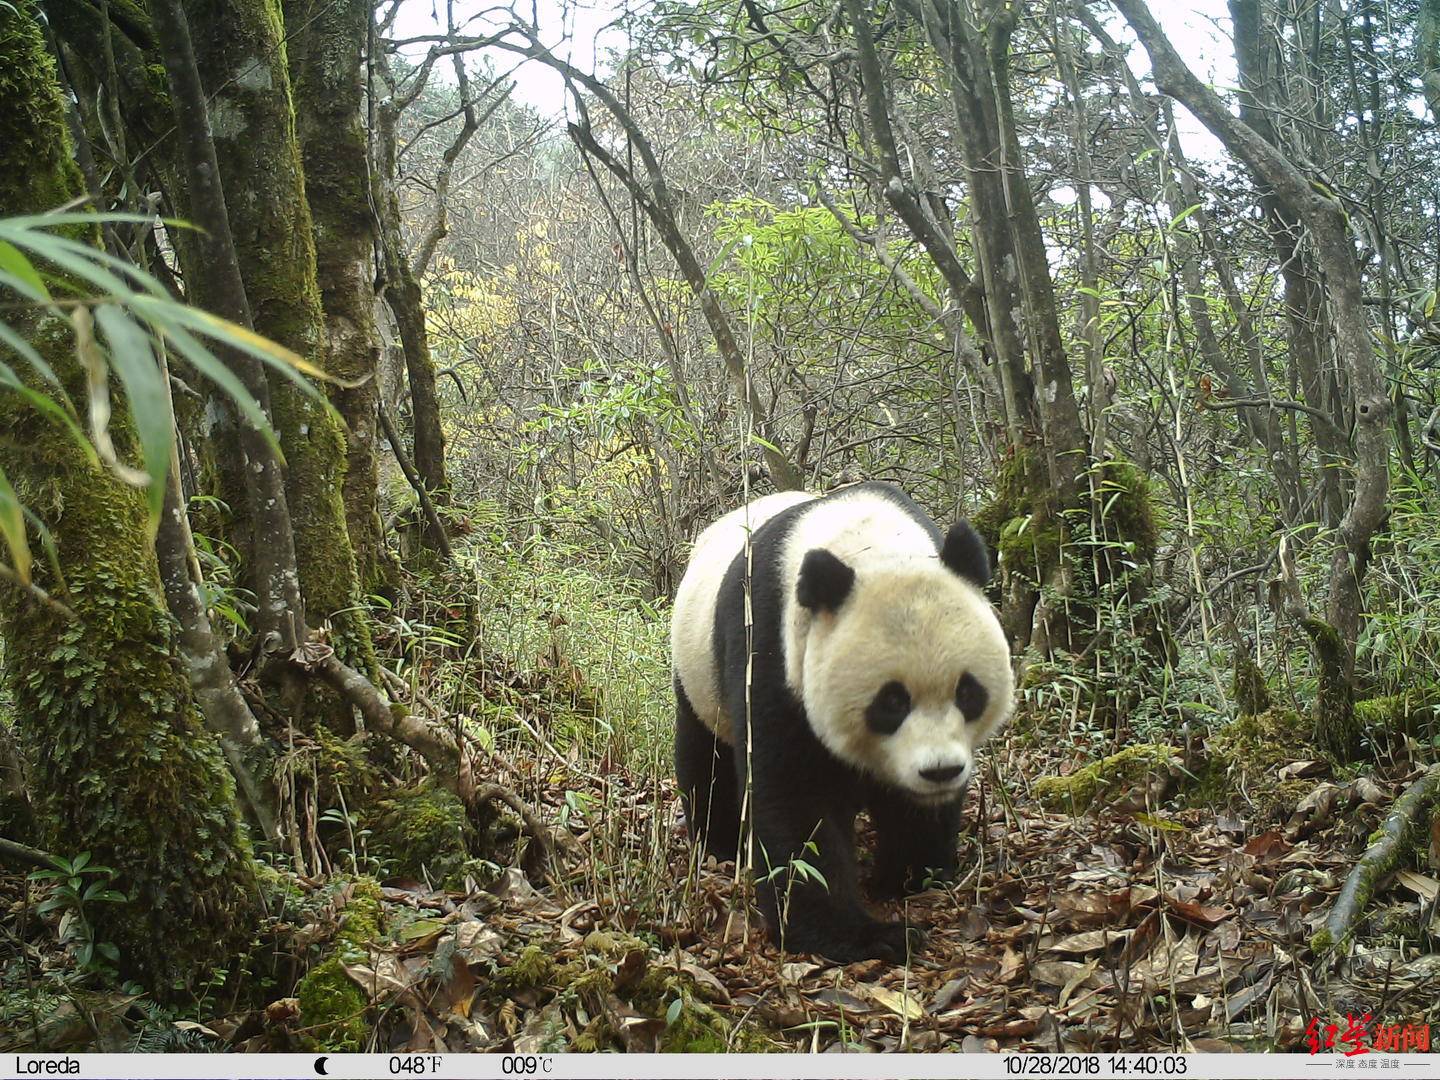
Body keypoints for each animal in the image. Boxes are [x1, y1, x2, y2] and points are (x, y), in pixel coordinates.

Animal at [671, 480, 1013, 961]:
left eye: (967, 692)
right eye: (891, 702)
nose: (940, 770)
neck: (873, 546)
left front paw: (910, 876)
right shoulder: (771, 651)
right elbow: (796, 799)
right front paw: (865, 935)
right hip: (697, 668)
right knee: (705, 754)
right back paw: (719, 844)